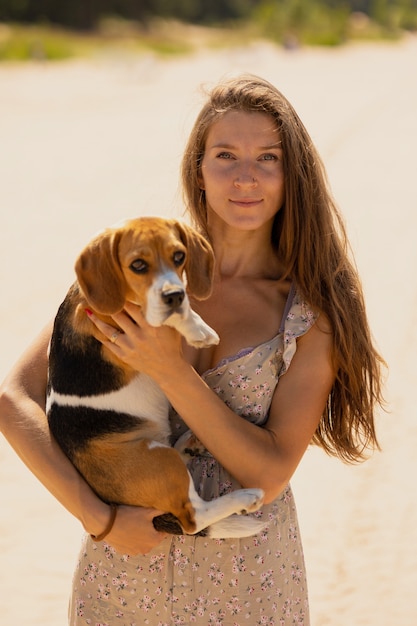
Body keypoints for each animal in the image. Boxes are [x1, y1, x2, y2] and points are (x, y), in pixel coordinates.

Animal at [46, 216, 264, 536]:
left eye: (179, 256)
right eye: (138, 265)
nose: (175, 296)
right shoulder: (107, 319)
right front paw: (197, 330)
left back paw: (190, 444)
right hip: (158, 458)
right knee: (193, 517)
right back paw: (245, 497)